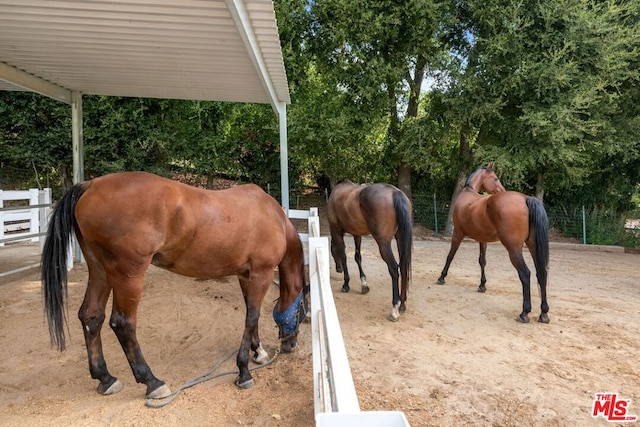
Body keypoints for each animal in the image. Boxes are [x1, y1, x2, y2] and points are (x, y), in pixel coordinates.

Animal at [41, 172, 306, 400]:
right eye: (302, 313)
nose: (290, 344)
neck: (273, 217)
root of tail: (91, 185)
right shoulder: (261, 273)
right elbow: (252, 317)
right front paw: (244, 371)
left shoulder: (246, 275)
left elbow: (252, 314)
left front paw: (258, 351)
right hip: (129, 275)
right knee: (123, 323)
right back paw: (152, 382)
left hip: (100, 271)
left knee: (91, 316)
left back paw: (105, 379)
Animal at [328, 180, 412, 320]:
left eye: (332, 252)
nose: (338, 269)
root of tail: (395, 192)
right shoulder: (357, 234)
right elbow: (357, 257)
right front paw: (364, 284)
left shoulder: (337, 231)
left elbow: (344, 255)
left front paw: (346, 284)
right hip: (400, 238)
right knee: (404, 267)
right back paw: (403, 305)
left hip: (384, 244)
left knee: (394, 268)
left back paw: (395, 308)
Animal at [438, 165, 552, 324]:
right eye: (496, 178)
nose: (502, 189)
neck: (468, 193)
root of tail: (526, 199)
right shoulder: (482, 239)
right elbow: (482, 261)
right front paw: (482, 285)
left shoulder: (457, 234)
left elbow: (450, 256)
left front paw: (441, 277)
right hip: (533, 247)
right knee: (542, 273)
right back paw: (544, 313)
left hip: (513, 249)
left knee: (525, 273)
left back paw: (524, 313)